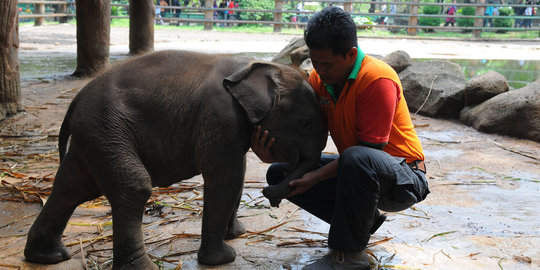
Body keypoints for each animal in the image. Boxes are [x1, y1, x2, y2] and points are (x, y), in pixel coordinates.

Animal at [24, 50, 324, 268]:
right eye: (306, 123)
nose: (271, 196)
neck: (251, 65)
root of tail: (74, 102)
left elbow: (237, 174)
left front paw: (236, 234)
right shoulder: (219, 116)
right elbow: (226, 178)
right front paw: (223, 259)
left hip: (95, 135)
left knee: (72, 188)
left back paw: (49, 258)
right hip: (105, 129)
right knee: (132, 187)